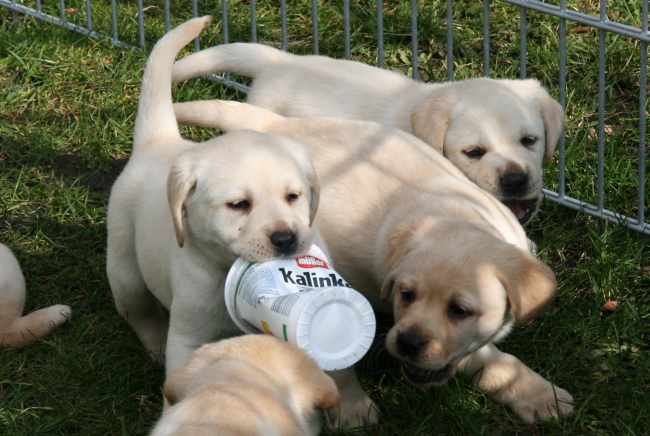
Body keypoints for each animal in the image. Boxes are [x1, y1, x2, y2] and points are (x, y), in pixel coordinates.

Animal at [105, 17, 320, 378]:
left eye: (293, 196)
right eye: (239, 205)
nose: (286, 238)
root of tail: (159, 140)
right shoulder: (188, 334)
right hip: (124, 261)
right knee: (137, 309)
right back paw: (155, 342)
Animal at [171, 96, 572, 426]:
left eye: (460, 311)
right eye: (406, 295)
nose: (407, 343)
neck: (449, 215)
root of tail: (277, 127)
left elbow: (496, 360)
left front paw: (538, 394)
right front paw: (352, 408)